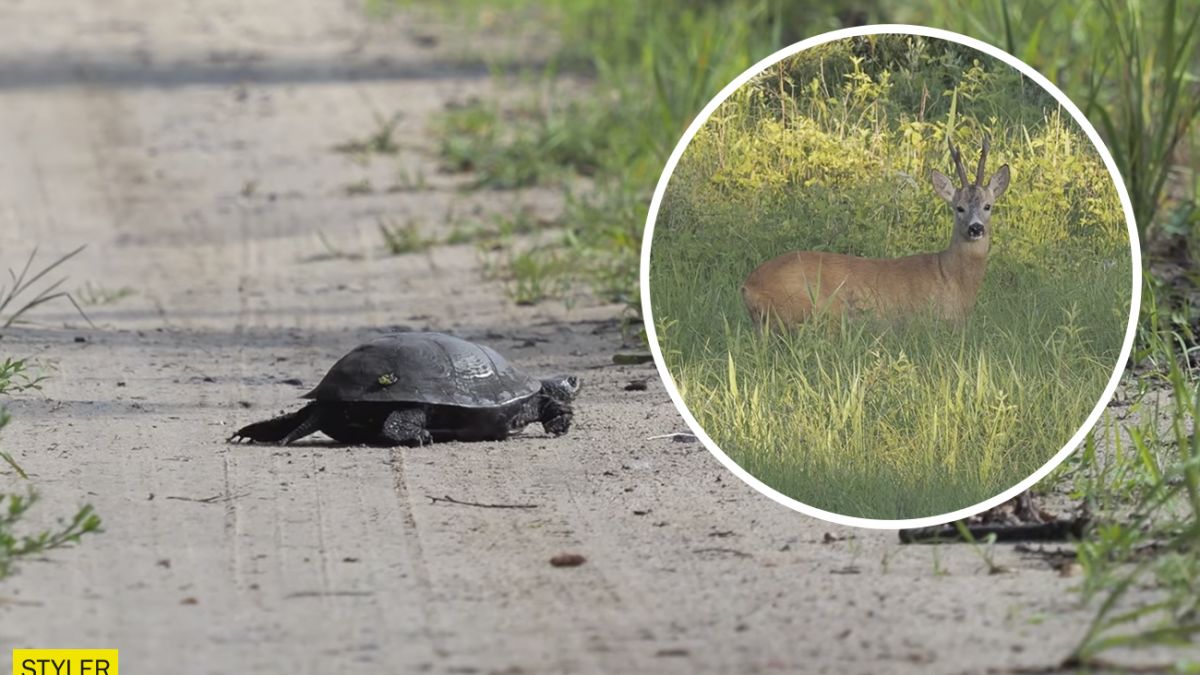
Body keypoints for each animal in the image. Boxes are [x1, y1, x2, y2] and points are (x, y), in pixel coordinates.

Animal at [739, 135, 1003, 326]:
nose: (976, 228)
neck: (952, 278)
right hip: (818, 308)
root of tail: (748, 286)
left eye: (987, 206)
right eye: (959, 207)